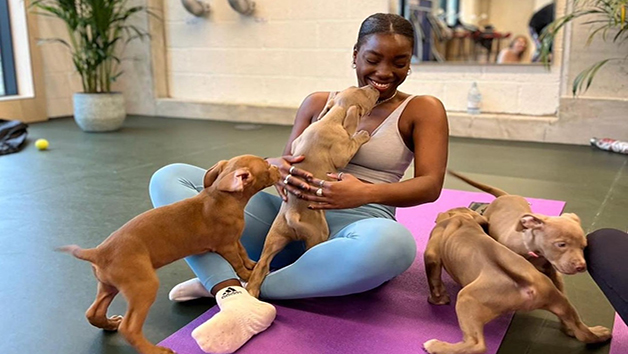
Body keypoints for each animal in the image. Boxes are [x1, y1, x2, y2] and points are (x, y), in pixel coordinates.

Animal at [245, 84, 378, 298]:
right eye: (364, 93)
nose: (373, 87)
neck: (331, 119)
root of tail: (292, 214)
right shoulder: (342, 151)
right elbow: (352, 143)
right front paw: (361, 134)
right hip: (318, 236)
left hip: (273, 238)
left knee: (261, 267)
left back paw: (252, 293)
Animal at [424, 207, 612, 354]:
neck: (462, 218)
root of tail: (527, 285)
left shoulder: (433, 251)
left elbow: (434, 275)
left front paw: (437, 299)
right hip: (559, 300)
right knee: (581, 332)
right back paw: (599, 333)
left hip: (466, 298)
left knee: (477, 345)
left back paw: (436, 346)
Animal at [446, 170, 588, 292]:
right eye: (561, 244)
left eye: (583, 246)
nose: (581, 266)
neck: (533, 251)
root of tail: (505, 195)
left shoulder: (554, 273)